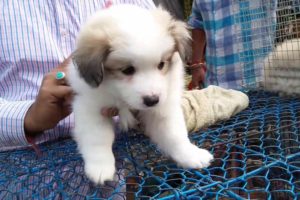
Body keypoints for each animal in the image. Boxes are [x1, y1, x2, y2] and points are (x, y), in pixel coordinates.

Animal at [68, 4, 213, 184]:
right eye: (127, 70)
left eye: (161, 64)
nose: (152, 100)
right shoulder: (90, 106)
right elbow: (98, 138)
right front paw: (100, 167)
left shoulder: (163, 108)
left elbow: (175, 134)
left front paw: (190, 154)